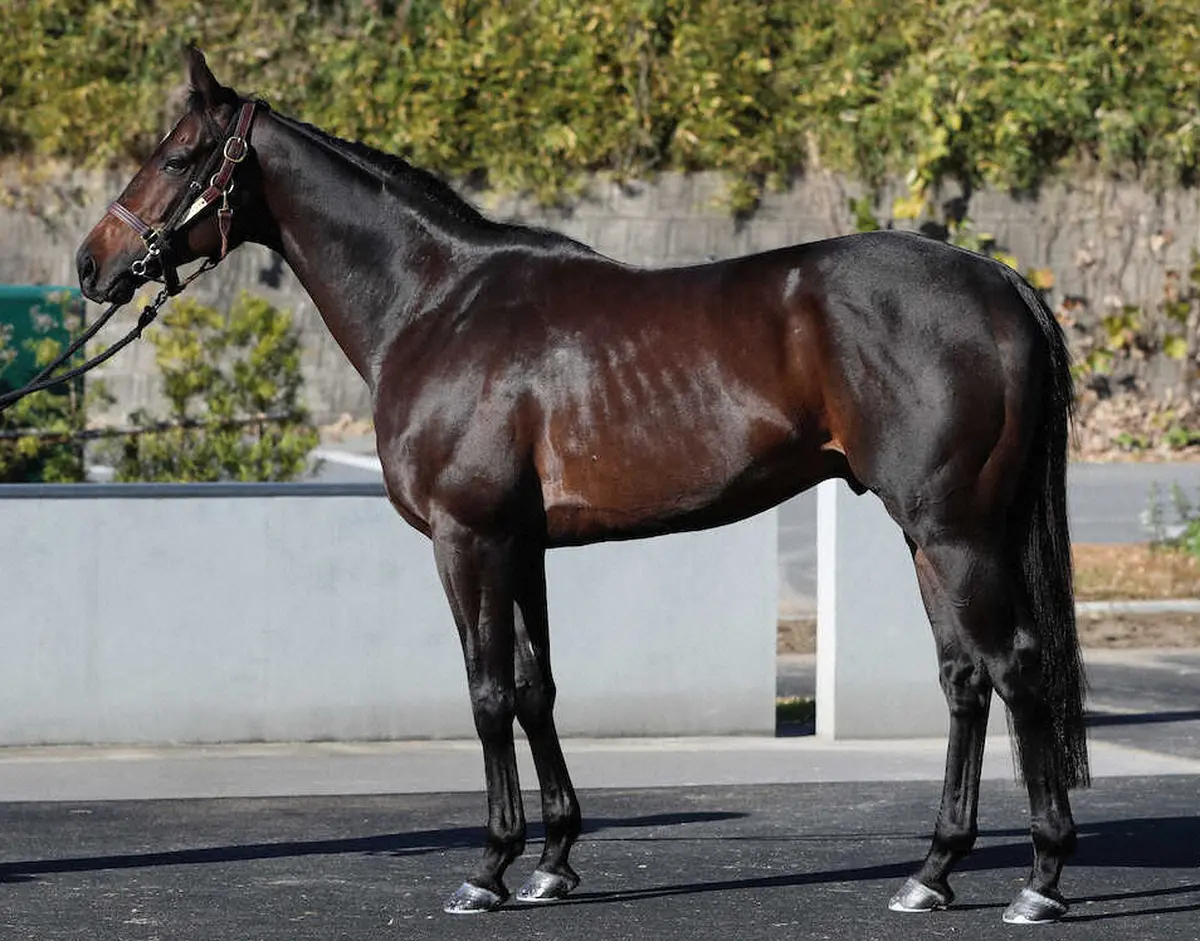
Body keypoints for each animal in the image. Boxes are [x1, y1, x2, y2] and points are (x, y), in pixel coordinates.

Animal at [76, 48, 1089, 924]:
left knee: (1013, 666)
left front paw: (488, 868)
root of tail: (1000, 280)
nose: (92, 264)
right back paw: (933, 870)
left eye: (176, 155)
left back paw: (1039, 880)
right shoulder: (521, 545)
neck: (436, 304)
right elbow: (537, 688)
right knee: (964, 677)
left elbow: (487, 692)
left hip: (956, 530)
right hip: (932, 535)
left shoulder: (469, 539)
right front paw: (553, 861)